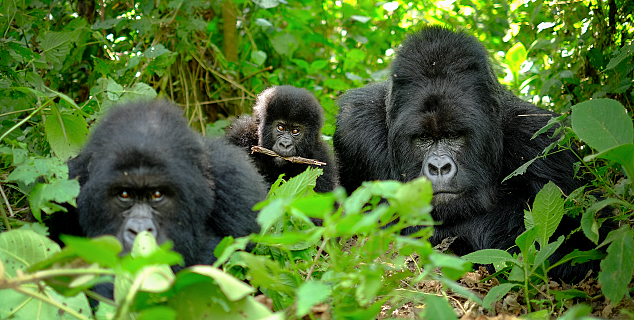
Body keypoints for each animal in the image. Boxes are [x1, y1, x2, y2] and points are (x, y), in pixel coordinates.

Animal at [334, 26, 596, 282]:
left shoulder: (545, 142)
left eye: (453, 135)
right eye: (423, 138)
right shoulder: (355, 128)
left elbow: (577, 242)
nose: (439, 168)